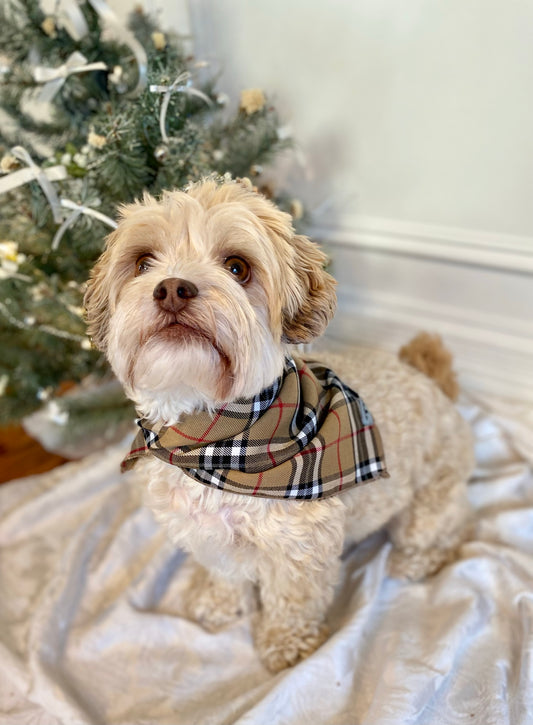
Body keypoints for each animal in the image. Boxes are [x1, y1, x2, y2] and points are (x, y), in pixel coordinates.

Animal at [84, 177, 474, 672]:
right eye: (142, 263)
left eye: (237, 267)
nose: (171, 288)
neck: (212, 440)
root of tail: (432, 383)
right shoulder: (205, 533)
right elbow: (224, 571)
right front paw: (219, 602)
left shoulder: (299, 547)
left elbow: (292, 601)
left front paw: (286, 646)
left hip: (427, 508)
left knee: (452, 527)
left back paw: (419, 560)